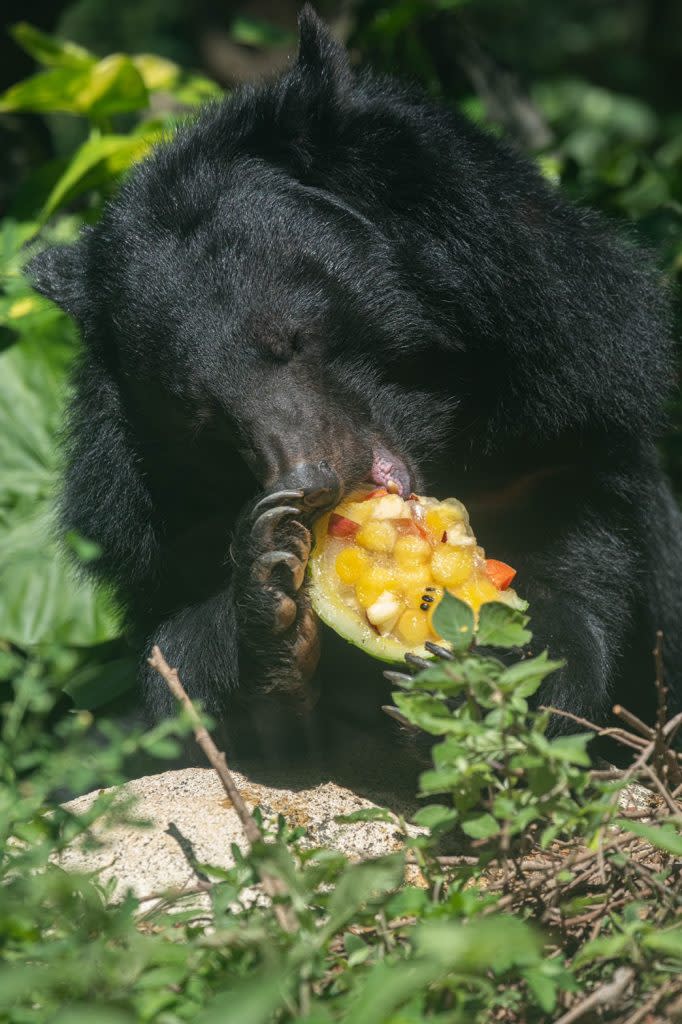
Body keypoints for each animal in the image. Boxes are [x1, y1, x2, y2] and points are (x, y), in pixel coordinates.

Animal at [29, 8, 675, 761]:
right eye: (203, 413)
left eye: (292, 339)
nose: (309, 483)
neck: (442, 437)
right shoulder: (147, 521)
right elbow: (180, 664)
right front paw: (269, 601)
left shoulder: (560, 427)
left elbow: (585, 610)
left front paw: (491, 660)